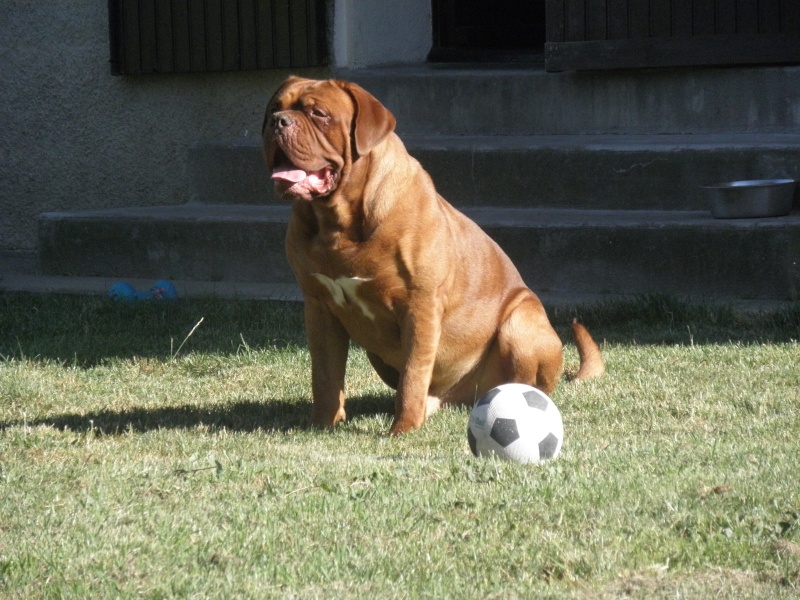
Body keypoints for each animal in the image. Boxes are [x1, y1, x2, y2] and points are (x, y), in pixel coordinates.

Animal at [260, 77, 600, 434]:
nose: (279, 122)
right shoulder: (319, 306)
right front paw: (322, 425)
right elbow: (325, 375)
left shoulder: (419, 305)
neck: (337, 220)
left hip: (521, 325)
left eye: (319, 114)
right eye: (273, 109)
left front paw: (403, 429)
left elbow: (413, 374)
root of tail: (466, 396)